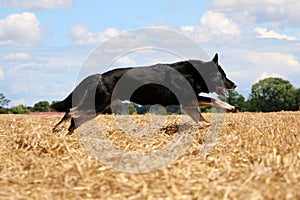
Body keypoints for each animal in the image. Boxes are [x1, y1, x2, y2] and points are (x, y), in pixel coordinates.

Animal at [51, 54, 236, 134]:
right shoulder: (190, 99)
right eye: (223, 75)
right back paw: (58, 128)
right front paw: (229, 106)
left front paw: (205, 126)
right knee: (71, 112)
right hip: (98, 105)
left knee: (74, 118)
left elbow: (201, 118)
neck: (193, 74)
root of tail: (100, 76)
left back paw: (68, 136)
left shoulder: (188, 104)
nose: (234, 85)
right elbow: (212, 100)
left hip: (98, 108)